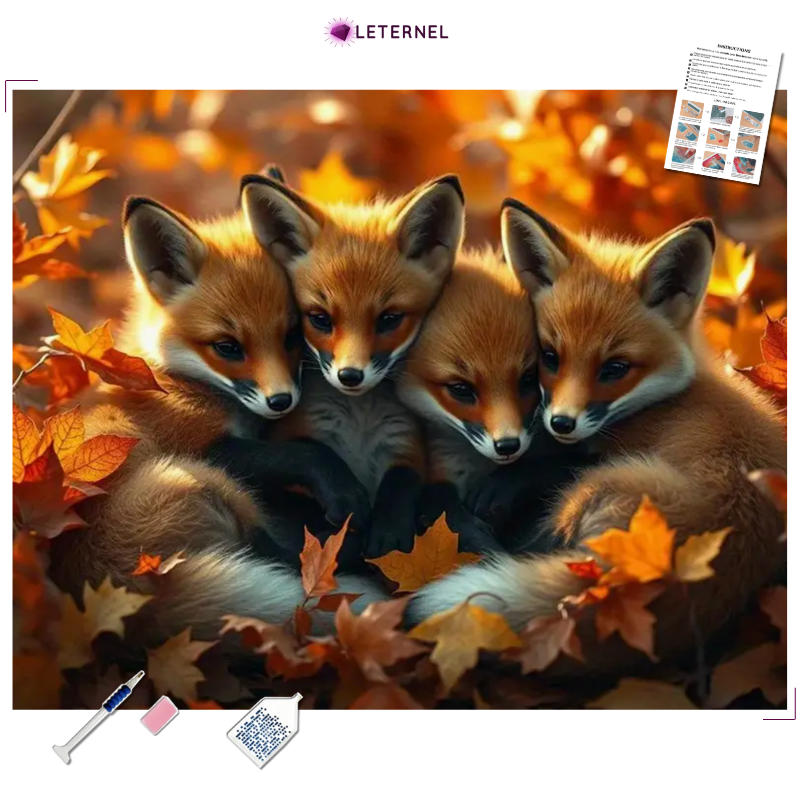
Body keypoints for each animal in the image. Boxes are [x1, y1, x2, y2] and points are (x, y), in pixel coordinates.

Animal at [49, 195, 384, 644]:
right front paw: (344, 493)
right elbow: (305, 451)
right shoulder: (204, 444)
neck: (173, 379)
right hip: (205, 482)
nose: (281, 401)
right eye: (227, 347)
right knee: (286, 558)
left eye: (292, 336)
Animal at [231, 171, 466, 558]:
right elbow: (309, 452)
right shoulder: (299, 431)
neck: (360, 422)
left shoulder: (404, 441)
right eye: (320, 319)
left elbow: (402, 484)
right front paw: (343, 499)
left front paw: (389, 535)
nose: (350, 376)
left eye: (389, 319)